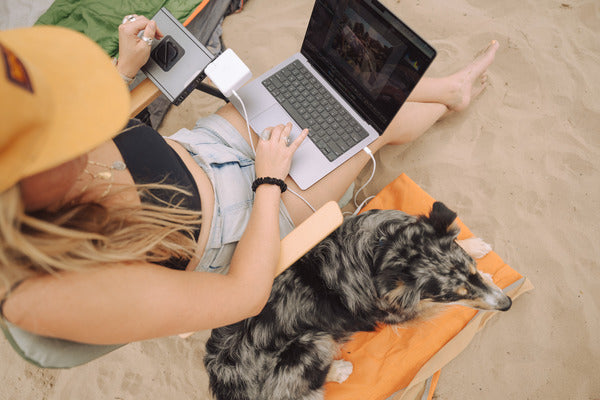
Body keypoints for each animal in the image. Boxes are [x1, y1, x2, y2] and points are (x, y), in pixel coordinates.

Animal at [203, 203, 510, 400]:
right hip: (313, 341)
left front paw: (476, 248)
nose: (507, 304)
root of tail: (224, 382)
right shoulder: (401, 312)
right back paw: (339, 370)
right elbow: (442, 306)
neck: (383, 250)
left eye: (470, 269)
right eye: (451, 294)